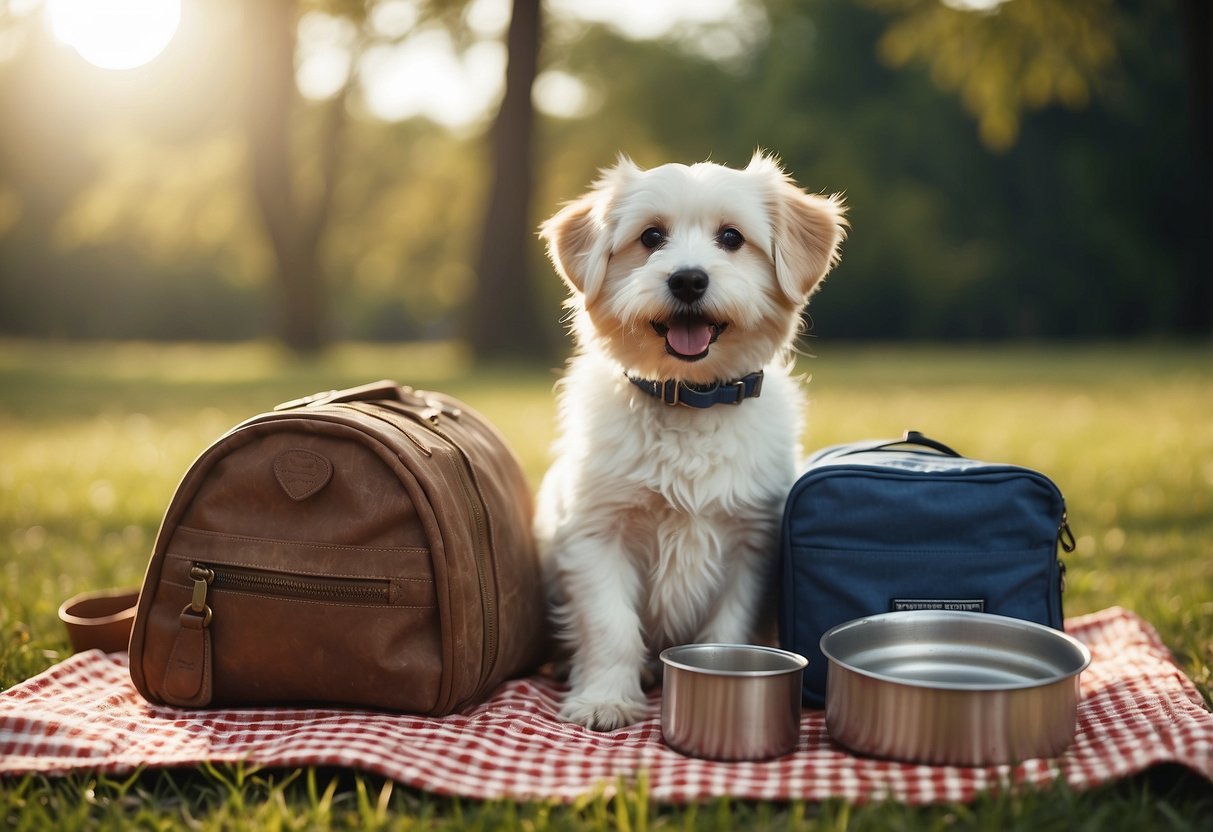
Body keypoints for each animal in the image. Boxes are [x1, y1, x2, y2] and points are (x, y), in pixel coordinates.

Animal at [536, 153, 849, 732]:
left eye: (731, 237)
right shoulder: (597, 535)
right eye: (651, 236)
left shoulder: (751, 545)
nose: (687, 279)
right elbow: (611, 627)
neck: (690, 401)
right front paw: (606, 698)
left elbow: (729, 630)